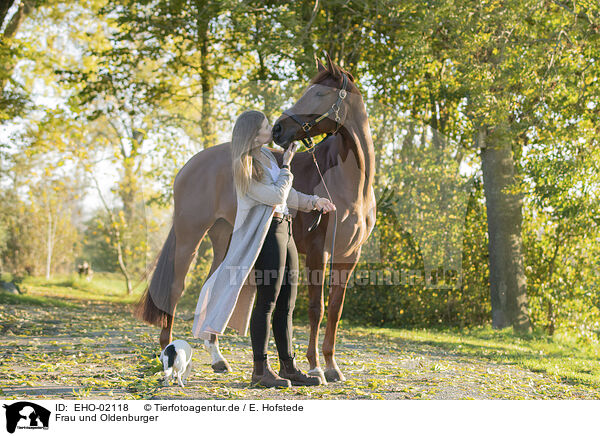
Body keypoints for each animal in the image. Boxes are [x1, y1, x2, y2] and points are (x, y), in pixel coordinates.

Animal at [137, 53, 376, 382]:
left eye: (318, 93)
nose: (278, 129)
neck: (351, 183)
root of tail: (190, 165)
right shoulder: (319, 252)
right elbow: (317, 309)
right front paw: (315, 366)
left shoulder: (349, 256)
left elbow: (335, 311)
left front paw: (332, 366)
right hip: (190, 235)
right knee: (175, 288)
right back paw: (167, 352)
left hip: (224, 237)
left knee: (212, 284)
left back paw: (218, 359)